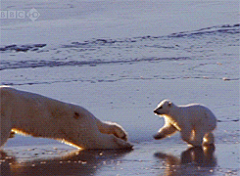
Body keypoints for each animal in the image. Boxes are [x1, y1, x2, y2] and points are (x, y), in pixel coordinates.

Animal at [0, 86, 132, 150]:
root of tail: (89, 115)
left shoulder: (5, 109)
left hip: (76, 127)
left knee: (95, 140)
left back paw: (124, 144)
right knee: (101, 128)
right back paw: (122, 135)